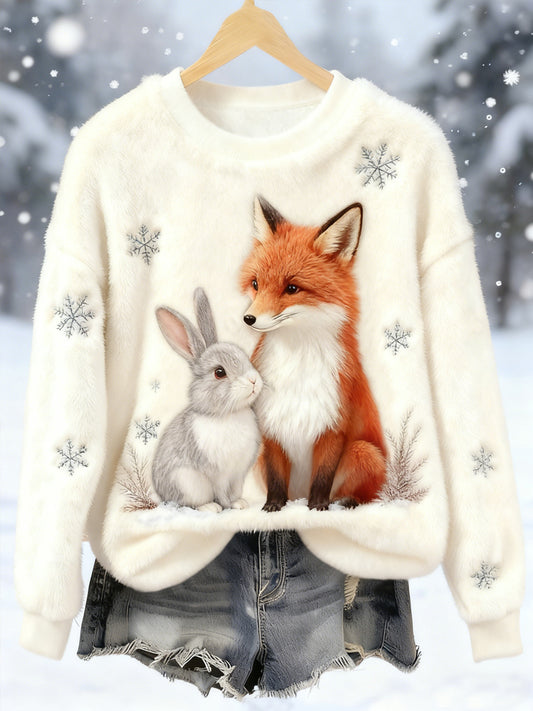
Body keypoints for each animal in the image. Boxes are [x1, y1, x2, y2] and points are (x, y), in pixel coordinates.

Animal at [151, 287, 263, 512]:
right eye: (219, 372)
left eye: (244, 357)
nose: (254, 380)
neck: (227, 415)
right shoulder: (217, 474)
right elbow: (221, 493)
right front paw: (227, 506)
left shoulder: (238, 474)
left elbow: (234, 491)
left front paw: (240, 503)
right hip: (187, 483)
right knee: (185, 503)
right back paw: (208, 507)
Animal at [240, 195, 387, 512]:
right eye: (256, 284)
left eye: (292, 288)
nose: (248, 319)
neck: (297, 364)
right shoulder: (271, 425)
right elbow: (276, 477)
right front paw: (273, 507)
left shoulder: (333, 424)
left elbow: (322, 477)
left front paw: (317, 508)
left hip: (362, 451)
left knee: (366, 494)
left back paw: (347, 502)